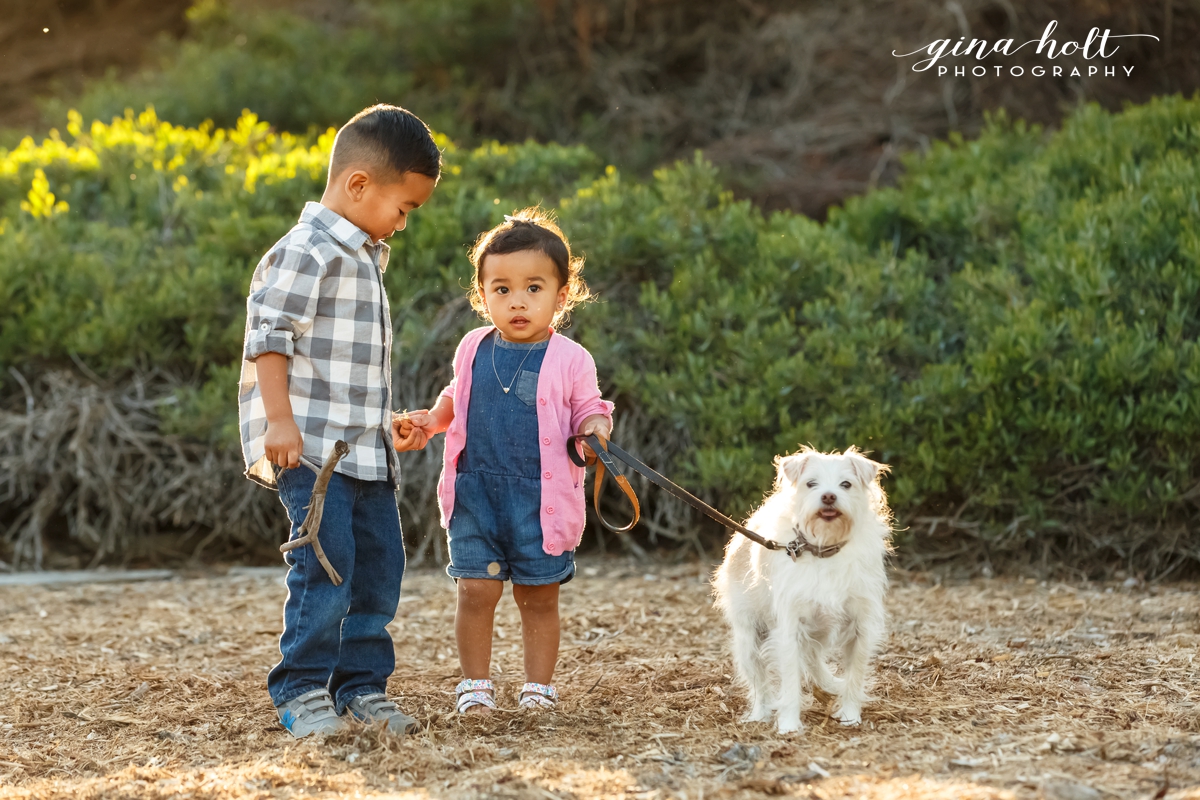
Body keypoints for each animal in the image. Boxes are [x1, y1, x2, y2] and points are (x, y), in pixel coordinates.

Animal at [710, 448, 892, 734]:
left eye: (846, 484)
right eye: (811, 484)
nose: (828, 496)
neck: (824, 548)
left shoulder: (860, 627)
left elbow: (855, 675)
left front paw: (850, 715)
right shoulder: (789, 628)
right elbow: (790, 680)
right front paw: (789, 724)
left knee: (813, 658)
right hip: (749, 638)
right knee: (760, 682)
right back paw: (760, 713)